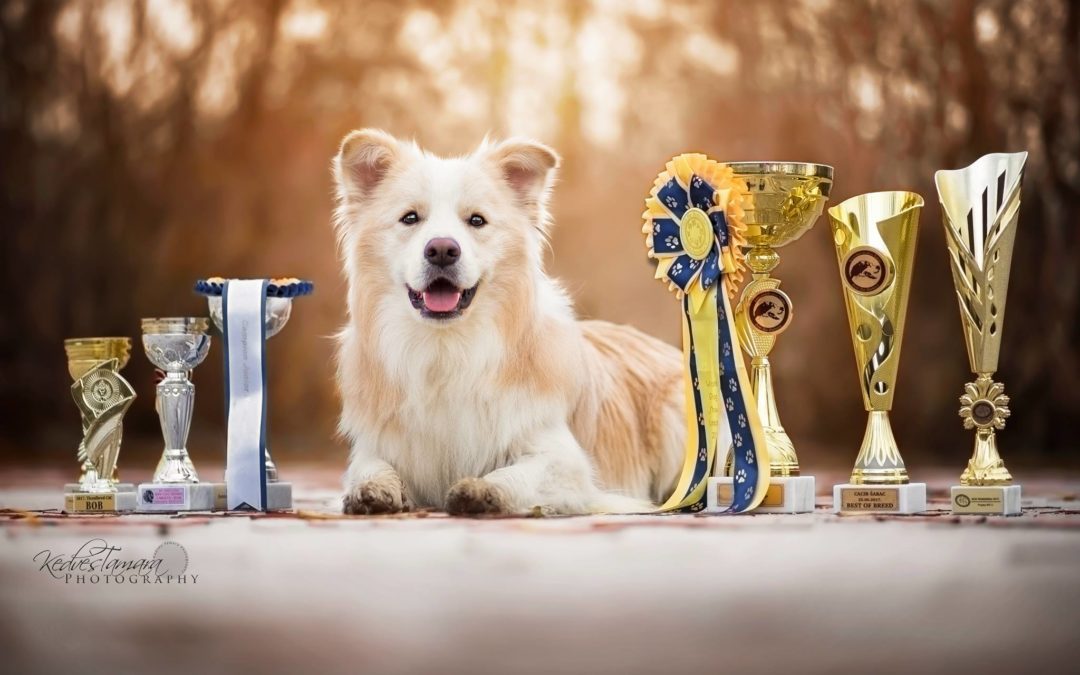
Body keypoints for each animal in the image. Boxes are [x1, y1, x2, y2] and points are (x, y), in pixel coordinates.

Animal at [328, 129, 682, 514]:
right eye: (410, 218)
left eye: (476, 220)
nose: (442, 250)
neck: (447, 347)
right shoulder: (379, 445)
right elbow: (369, 467)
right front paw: (373, 490)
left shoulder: (565, 461)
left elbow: (517, 475)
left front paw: (482, 490)